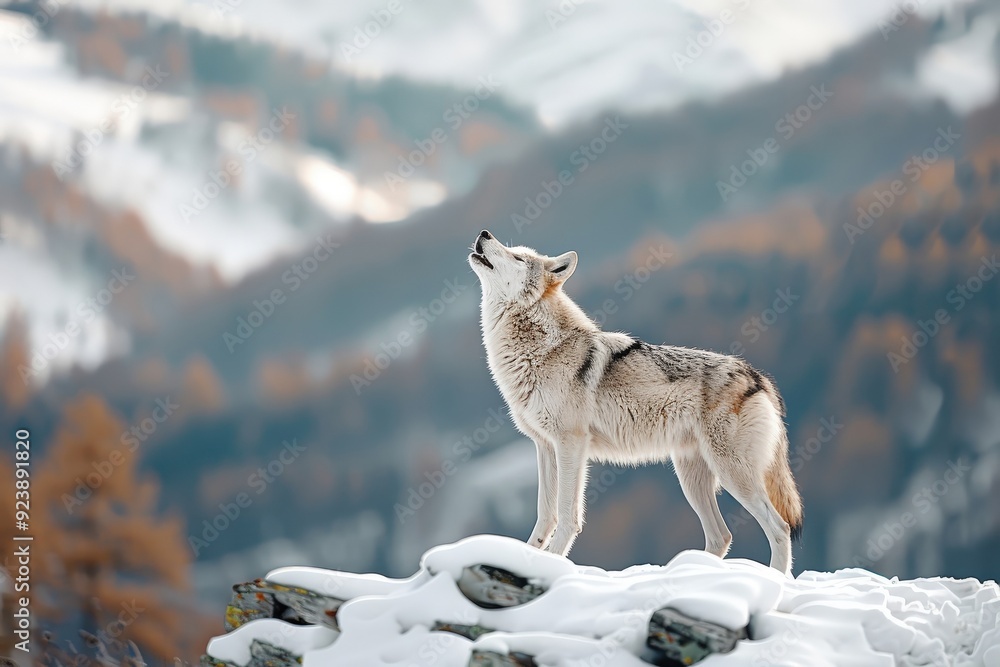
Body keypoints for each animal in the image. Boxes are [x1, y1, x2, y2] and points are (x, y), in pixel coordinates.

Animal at [468, 230, 803, 573]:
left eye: (518, 257)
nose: (484, 233)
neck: (542, 347)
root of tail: (758, 378)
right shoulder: (544, 446)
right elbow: (544, 516)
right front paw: (529, 559)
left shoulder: (570, 444)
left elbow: (567, 516)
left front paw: (552, 563)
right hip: (692, 478)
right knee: (721, 536)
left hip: (732, 475)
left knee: (779, 528)